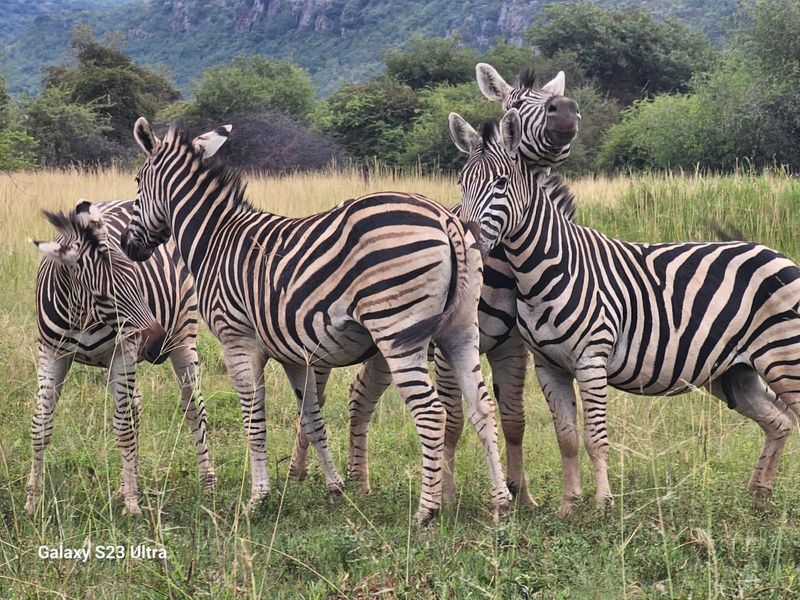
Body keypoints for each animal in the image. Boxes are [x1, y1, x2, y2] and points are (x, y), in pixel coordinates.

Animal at [26, 200, 215, 516]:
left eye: (138, 280)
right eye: (104, 296)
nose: (157, 344)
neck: (80, 312)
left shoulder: (123, 351)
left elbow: (123, 430)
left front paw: (132, 506)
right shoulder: (51, 353)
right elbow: (41, 425)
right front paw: (31, 502)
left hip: (184, 335)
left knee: (193, 407)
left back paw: (208, 485)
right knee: (136, 405)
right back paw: (130, 481)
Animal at [121, 118, 512, 524]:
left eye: (137, 181)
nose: (127, 246)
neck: (215, 239)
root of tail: (445, 218)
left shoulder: (237, 340)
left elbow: (254, 419)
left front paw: (258, 499)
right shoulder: (296, 354)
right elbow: (311, 416)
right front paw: (335, 488)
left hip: (397, 330)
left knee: (431, 413)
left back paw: (425, 511)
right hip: (461, 330)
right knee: (482, 408)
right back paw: (500, 502)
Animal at [289, 66, 582, 507]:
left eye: (552, 97)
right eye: (513, 104)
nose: (563, 110)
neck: (506, 268)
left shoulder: (512, 348)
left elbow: (514, 418)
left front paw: (521, 496)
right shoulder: (447, 350)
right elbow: (453, 420)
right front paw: (447, 494)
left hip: (386, 345)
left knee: (359, 396)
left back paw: (359, 482)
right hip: (326, 345)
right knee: (315, 399)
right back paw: (303, 473)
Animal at [450, 107, 800, 516]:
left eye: (501, 183)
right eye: (461, 182)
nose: (468, 238)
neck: (546, 266)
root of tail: (778, 254)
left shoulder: (591, 359)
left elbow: (595, 437)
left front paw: (603, 505)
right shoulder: (548, 366)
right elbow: (567, 439)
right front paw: (568, 506)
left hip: (784, 357)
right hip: (735, 372)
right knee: (778, 422)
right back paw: (759, 496)